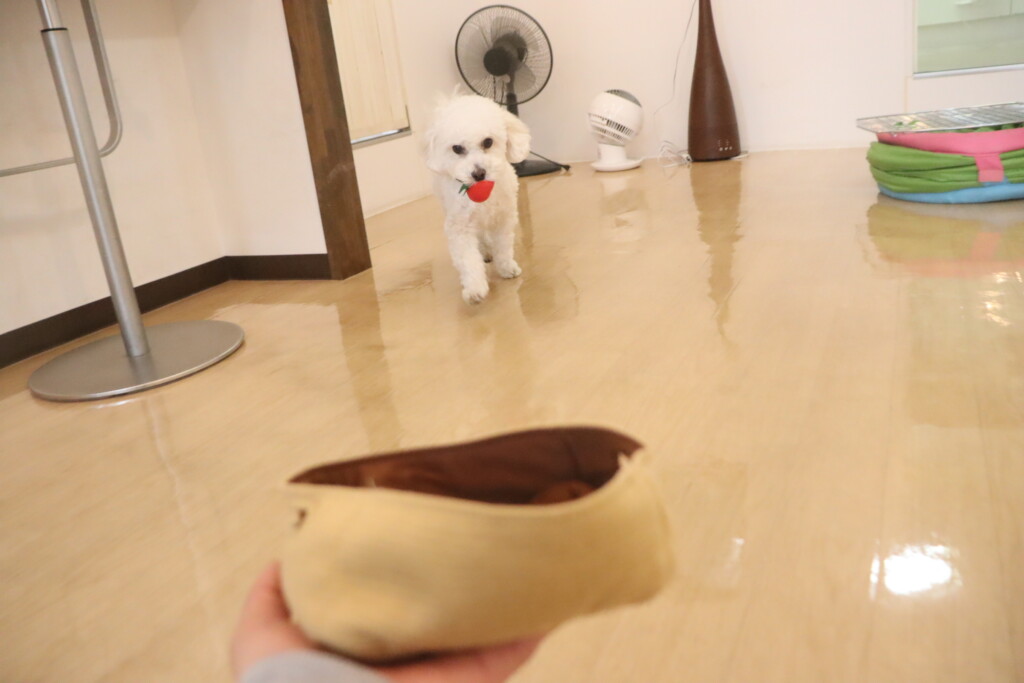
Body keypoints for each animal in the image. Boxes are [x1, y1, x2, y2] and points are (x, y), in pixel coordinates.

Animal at [424, 94, 531, 304]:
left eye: (488, 142)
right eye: (457, 148)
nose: (478, 174)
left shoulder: (503, 219)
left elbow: (503, 247)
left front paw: (507, 267)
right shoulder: (460, 227)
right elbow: (468, 259)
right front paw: (475, 288)